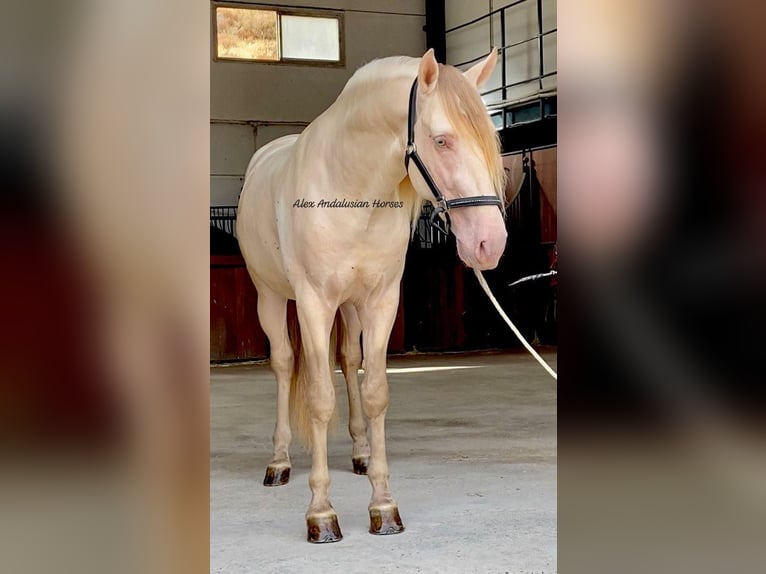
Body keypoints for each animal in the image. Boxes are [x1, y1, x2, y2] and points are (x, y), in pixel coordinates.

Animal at [238, 49, 510, 544]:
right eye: (442, 141)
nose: (490, 243)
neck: (349, 190)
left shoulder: (381, 301)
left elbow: (375, 391)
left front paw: (383, 505)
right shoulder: (313, 303)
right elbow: (319, 398)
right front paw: (321, 514)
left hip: (350, 307)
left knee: (347, 360)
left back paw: (361, 453)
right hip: (272, 298)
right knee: (284, 365)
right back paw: (279, 462)